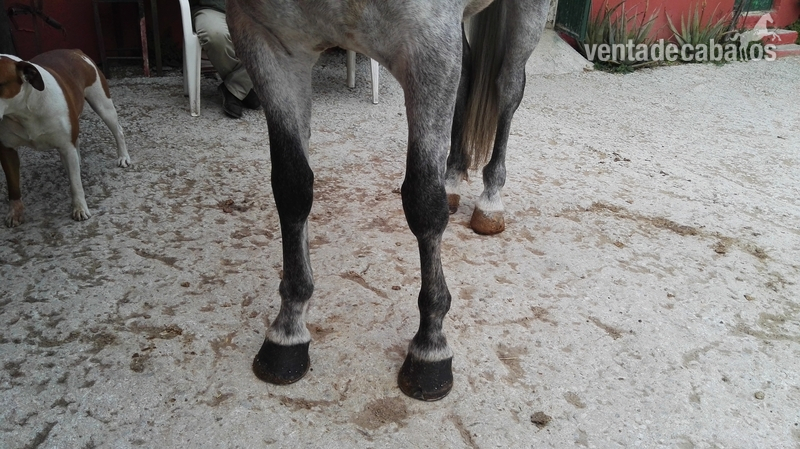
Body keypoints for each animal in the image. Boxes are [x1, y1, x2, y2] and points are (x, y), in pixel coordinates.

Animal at [227, 0, 549, 401]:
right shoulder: (268, 44)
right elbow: (292, 186)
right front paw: (288, 329)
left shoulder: (428, 46)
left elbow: (423, 203)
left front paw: (430, 345)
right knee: (467, 80)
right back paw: (452, 177)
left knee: (508, 86)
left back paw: (490, 200)